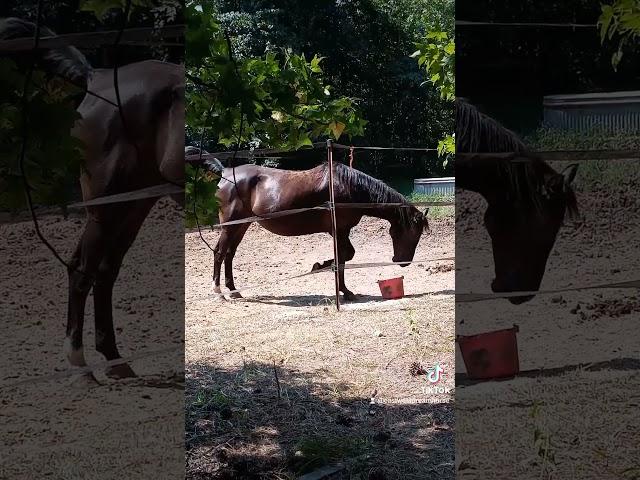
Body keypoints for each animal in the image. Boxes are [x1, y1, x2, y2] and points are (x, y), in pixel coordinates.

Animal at [1, 18, 184, 378]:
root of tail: (97, 76)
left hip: (135, 205)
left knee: (105, 270)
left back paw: (115, 360)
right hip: (106, 208)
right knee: (82, 269)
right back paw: (80, 358)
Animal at [206, 158, 430, 300]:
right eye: (412, 234)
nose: (402, 262)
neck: (349, 187)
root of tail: (226, 172)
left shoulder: (341, 231)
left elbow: (343, 256)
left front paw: (341, 288)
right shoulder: (339, 230)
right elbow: (344, 256)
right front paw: (325, 272)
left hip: (241, 226)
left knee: (229, 254)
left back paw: (234, 291)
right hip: (230, 227)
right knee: (219, 252)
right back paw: (218, 292)